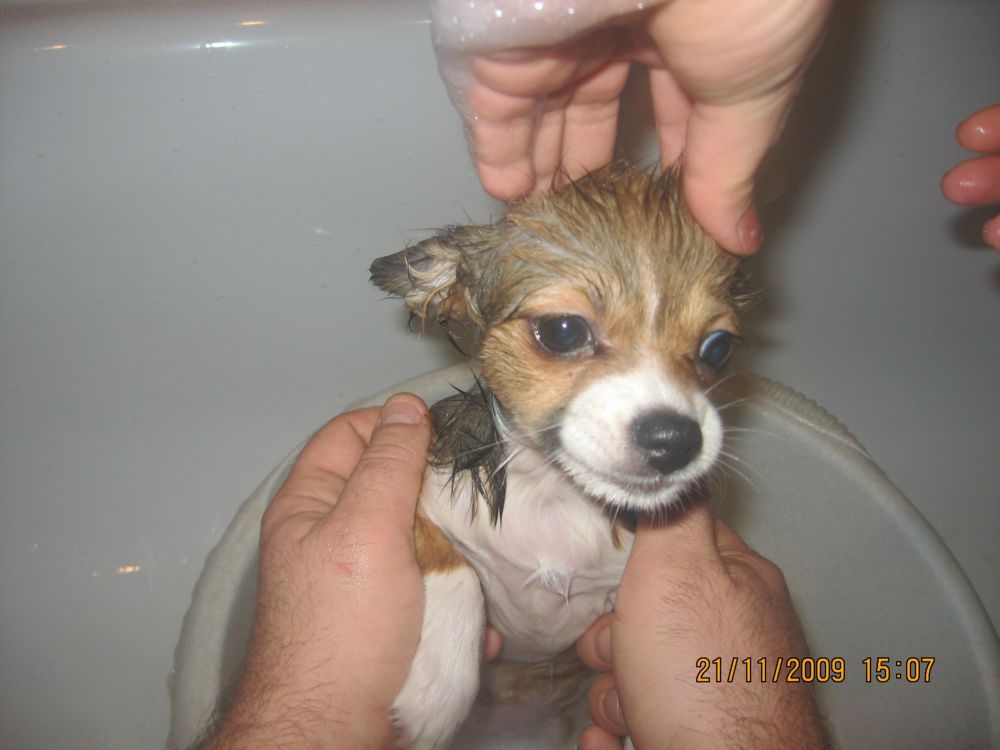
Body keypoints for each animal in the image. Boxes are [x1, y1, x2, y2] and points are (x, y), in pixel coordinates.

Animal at [370, 167, 750, 748]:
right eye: (563, 331)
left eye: (718, 349)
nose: (676, 439)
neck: (552, 494)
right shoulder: (422, 503)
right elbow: (456, 571)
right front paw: (438, 691)